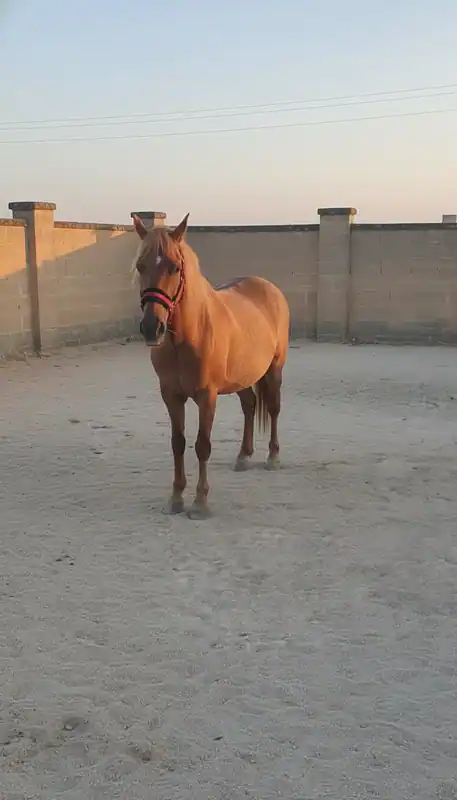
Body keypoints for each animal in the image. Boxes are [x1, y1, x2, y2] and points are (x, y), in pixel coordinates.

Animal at [131, 213, 290, 519]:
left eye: (175, 267)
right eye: (139, 265)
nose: (151, 327)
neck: (187, 336)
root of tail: (270, 289)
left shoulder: (207, 396)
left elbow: (202, 445)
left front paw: (200, 502)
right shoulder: (171, 395)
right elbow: (178, 443)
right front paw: (176, 498)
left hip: (274, 369)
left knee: (274, 408)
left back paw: (273, 457)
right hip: (241, 377)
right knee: (249, 406)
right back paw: (243, 456)